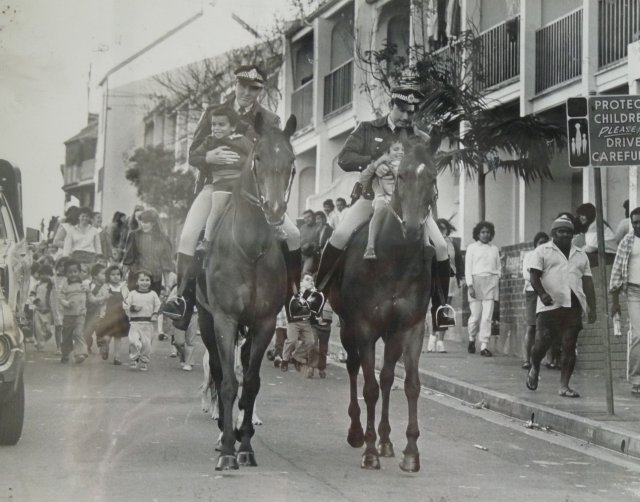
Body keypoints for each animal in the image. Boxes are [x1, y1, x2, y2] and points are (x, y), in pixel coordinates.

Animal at [198, 113, 298, 470]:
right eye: (258, 158)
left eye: (292, 161)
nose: (275, 209)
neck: (250, 249)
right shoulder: (224, 320)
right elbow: (228, 383)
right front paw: (229, 449)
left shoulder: (264, 323)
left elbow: (251, 384)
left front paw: (245, 446)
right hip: (206, 322)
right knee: (217, 372)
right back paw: (221, 433)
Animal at [328, 140, 438, 470]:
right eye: (400, 175)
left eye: (433, 177)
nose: (413, 227)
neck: (395, 258)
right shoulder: (364, 327)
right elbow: (369, 387)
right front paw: (369, 451)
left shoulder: (410, 326)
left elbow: (408, 384)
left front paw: (409, 451)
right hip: (347, 326)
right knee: (354, 368)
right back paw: (357, 433)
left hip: (390, 333)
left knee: (388, 377)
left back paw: (386, 440)